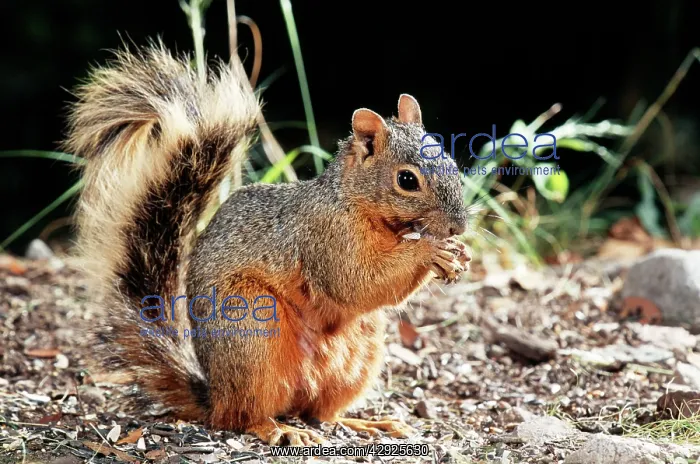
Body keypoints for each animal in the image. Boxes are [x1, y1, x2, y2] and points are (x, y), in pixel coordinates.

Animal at [65, 41, 471, 446]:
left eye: (450, 161)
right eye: (407, 180)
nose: (459, 226)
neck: (357, 205)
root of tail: (214, 394)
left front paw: (458, 255)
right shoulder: (324, 237)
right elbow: (355, 282)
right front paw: (430, 251)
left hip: (360, 351)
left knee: (321, 413)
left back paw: (367, 424)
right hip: (253, 330)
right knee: (242, 416)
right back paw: (278, 429)